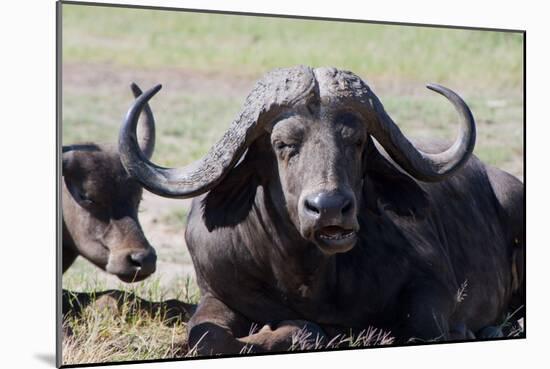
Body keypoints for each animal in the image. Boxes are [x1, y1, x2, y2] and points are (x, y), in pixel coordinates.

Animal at [117, 67, 528, 354]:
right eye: (283, 144)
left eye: (357, 141)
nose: (329, 208)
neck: (305, 275)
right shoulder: (216, 292)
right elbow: (209, 337)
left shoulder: (432, 285)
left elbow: (423, 327)